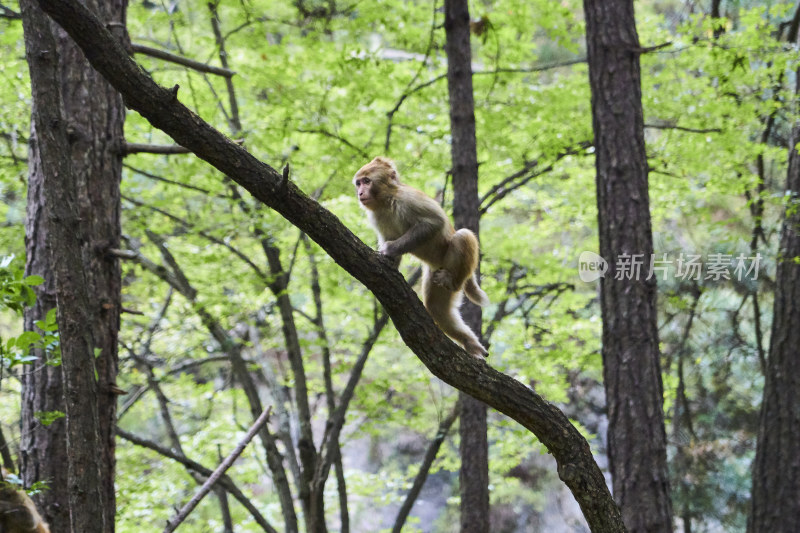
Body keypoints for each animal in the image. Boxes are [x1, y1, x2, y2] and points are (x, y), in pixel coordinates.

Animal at [354, 157, 490, 358]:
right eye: (359, 183)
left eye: (367, 181)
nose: (360, 192)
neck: (386, 200)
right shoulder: (376, 216)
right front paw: (388, 261)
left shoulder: (407, 198)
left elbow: (434, 222)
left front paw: (389, 249)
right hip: (436, 272)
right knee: (436, 308)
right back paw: (470, 343)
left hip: (456, 266)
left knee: (462, 235)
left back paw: (454, 281)